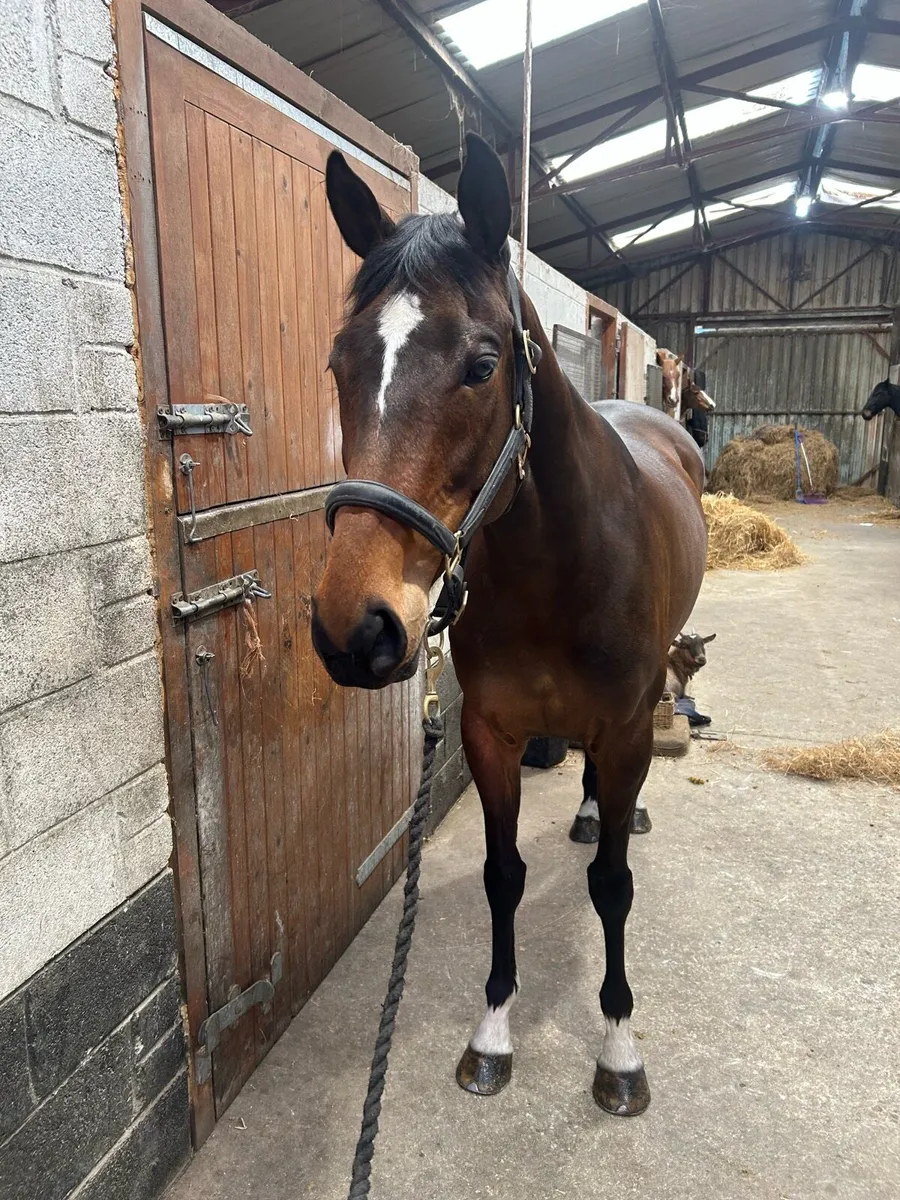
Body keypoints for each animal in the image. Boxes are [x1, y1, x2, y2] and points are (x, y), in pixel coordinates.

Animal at [312, 133, 708, 1115]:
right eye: (339, 366)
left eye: (482, 366)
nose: (356, 629)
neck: (556, 572)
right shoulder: (490, 736)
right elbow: (503, 878)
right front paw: (492, 1030)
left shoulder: (625, 731)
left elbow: (612, 886)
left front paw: (619, 1047)